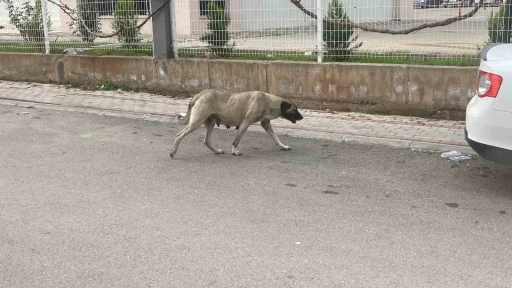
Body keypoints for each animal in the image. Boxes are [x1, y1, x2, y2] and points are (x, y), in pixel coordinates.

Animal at [170, 89, 302, 159]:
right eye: (294, 110)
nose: (302, 117)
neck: (269, 101)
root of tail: (200, 94)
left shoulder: (266, 124)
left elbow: (276, 138)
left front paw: (283, 146)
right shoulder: (245, 123)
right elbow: (236, 141)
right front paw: (234, 152)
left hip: (210, 123)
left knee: (206, 141)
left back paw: (217, 151)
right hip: (196, 123)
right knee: (178, 135)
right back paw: (173, 152)